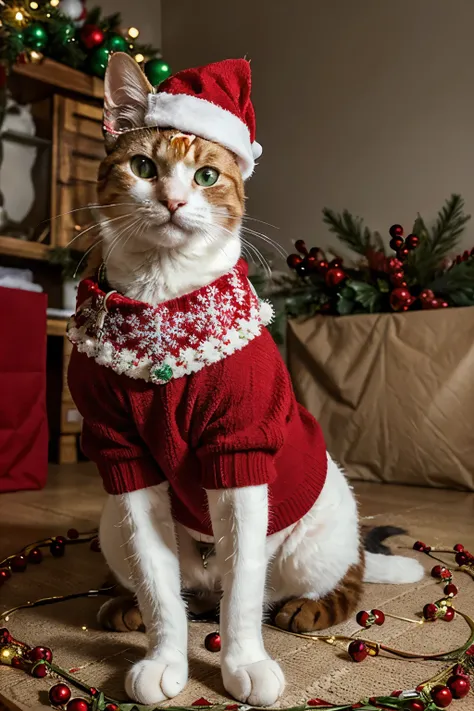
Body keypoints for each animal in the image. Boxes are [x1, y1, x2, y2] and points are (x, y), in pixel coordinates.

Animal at [65, 54, 422, 708]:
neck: (165, 308)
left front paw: (244, 662)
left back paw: (307, 609)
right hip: (110, 526)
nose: (174, 200)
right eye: (143, 166)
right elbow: (158, 585)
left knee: (339, 578)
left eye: (207, 175)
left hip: (318, 535)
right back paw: (124, 606)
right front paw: (164, 656)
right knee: (174, 586)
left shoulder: (240, 449)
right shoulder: (122, 456)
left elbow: (244, 589)